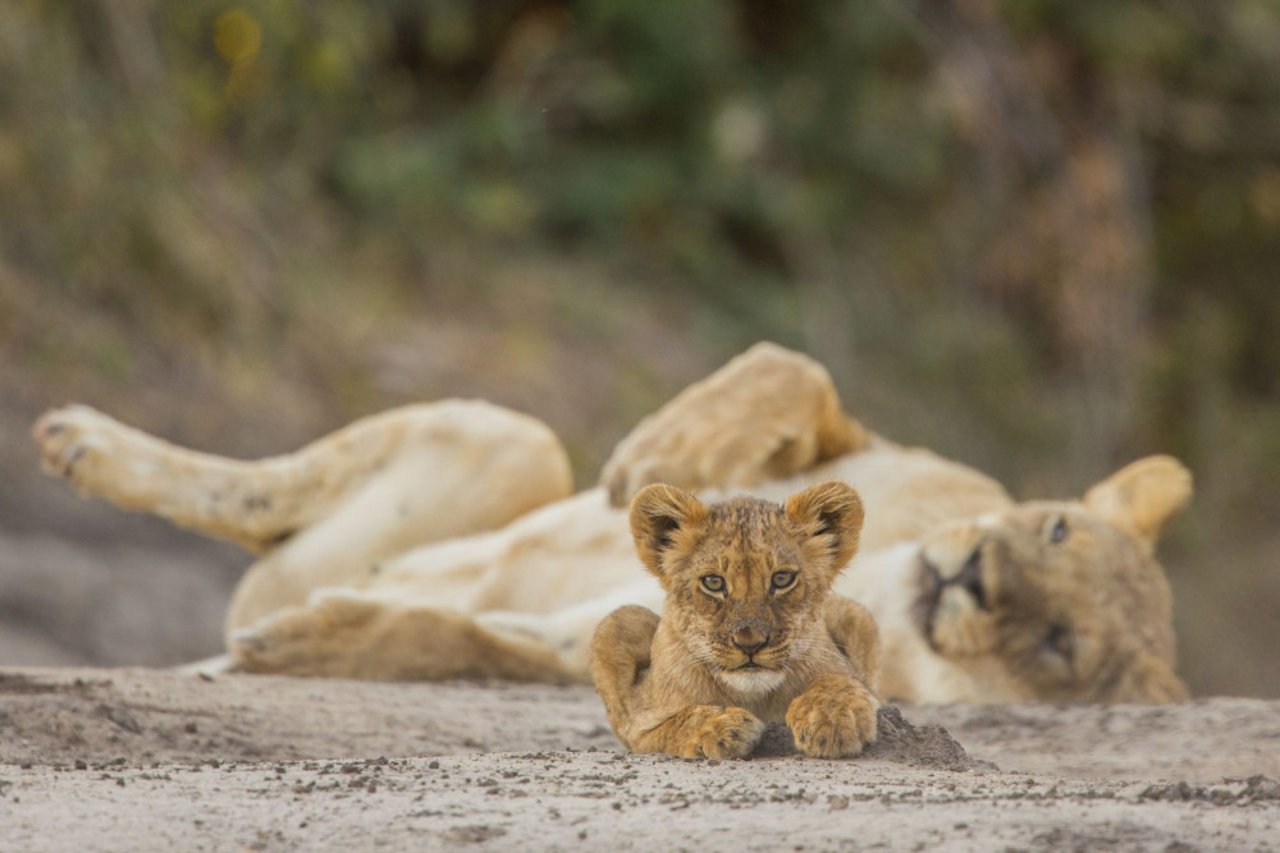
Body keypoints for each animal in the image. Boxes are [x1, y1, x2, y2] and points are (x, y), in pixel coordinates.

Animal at [32, 343, 1187, 701]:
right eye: (1054, 530)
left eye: (1058, 645)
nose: (972, 580)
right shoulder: (873, 456)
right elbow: (795, 373)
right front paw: (669, 453)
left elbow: (452, 640)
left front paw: (311, 642)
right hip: (521, 441)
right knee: (251, 493)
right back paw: (76, 438)